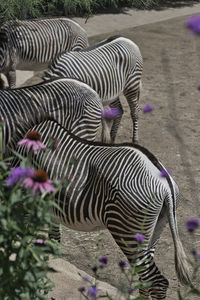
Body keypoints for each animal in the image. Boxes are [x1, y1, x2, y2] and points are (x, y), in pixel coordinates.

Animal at [13, 118, 191, 298]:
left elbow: (23, 240)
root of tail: (166, 185)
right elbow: (52, 242)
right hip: (154, 231)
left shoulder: (26, 198)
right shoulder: (49, 208)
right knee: (145, 277)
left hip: (128, 231)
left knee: (157, 281)